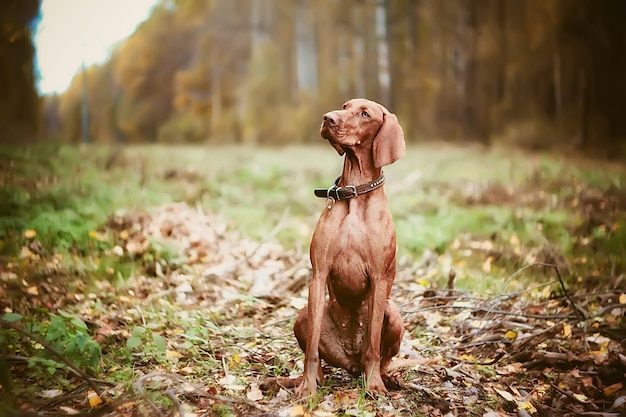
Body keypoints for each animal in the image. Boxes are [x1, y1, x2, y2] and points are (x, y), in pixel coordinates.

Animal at [292, 98, 404, 396]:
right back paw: (317, 378)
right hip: (303, 316)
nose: (327, 118)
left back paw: (384, 377)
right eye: (345, 106)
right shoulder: (318, 275)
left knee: (380, 357)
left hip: (393, 312)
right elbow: (311, 351)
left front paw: (374, 385)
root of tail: (351, 360)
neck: (355, 192)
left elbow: (373, 346)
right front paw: (307, 386)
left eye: (365, 114)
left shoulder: (379, 279)